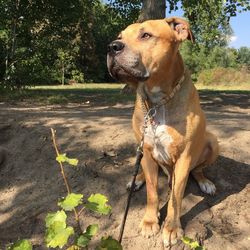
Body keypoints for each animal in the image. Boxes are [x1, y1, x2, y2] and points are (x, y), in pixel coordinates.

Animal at [106, 17, 218, 246]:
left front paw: (172, 228)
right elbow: (152, 192)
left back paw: (205, 182)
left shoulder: (184, 158)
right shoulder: (148, 152)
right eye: (120, 36)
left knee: (197, 170)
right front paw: (150, 222)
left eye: (146, 35)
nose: (112, 46)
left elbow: (176, 197)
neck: (158, 101)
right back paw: (136, 180)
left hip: (213, 142)